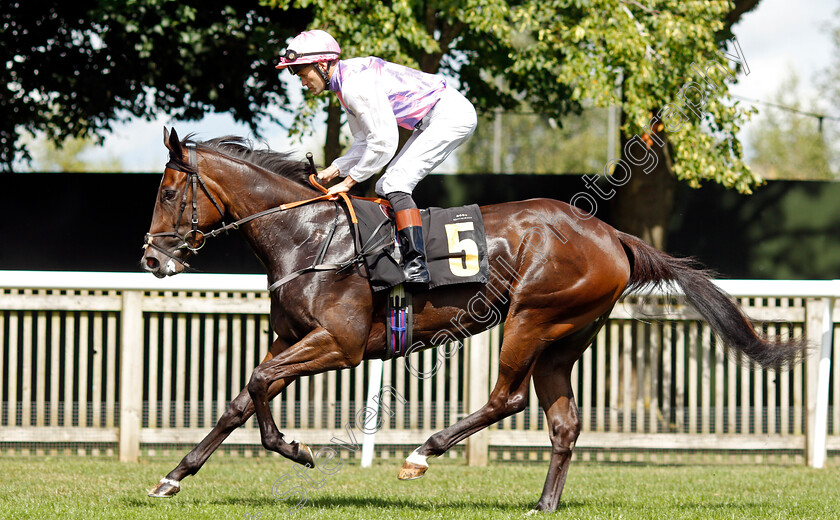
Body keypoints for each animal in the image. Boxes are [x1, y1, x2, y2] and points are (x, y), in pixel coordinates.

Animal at [144, 129, 808, 512]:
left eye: (170, 193)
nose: (152, 258)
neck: (307, 235)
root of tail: (611, 233)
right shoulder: (293, 338)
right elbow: (239, 400)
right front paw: (172, 478)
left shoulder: (341, 343)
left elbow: (257, 386)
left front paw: (297, 450)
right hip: (564, 339)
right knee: (563, 422)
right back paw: (543, 505)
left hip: (531, 317)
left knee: (507, 399)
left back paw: (423, 452)